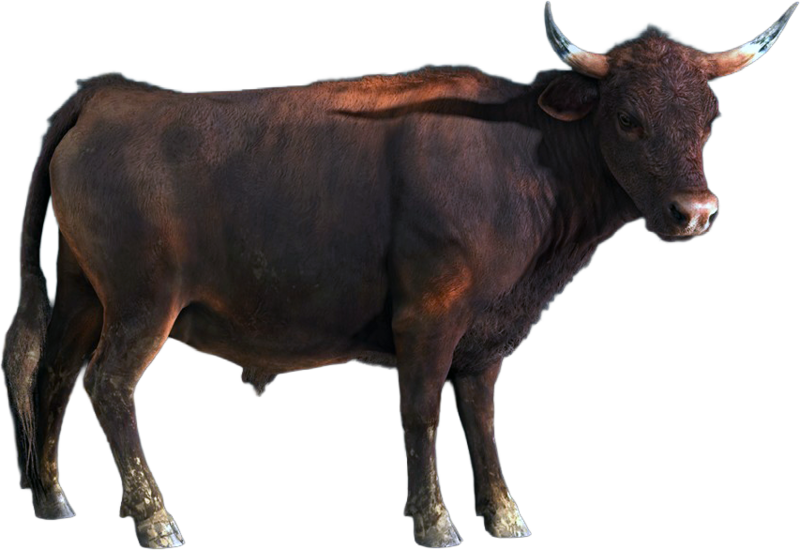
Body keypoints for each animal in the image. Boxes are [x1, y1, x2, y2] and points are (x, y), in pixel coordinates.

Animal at [2, 2, 796, 548]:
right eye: (628, 118)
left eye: (711, 117)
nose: (696, 212)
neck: (521, 155)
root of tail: (114, 90)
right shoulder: (430, 314)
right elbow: (419, 409)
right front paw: (435, 521)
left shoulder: (486, 333)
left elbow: (479, 412)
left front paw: (504, 515)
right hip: (143, 304)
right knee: (108, 384)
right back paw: (154, 516)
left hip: (82, 294)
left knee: (54, 375)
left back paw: (52, 498)